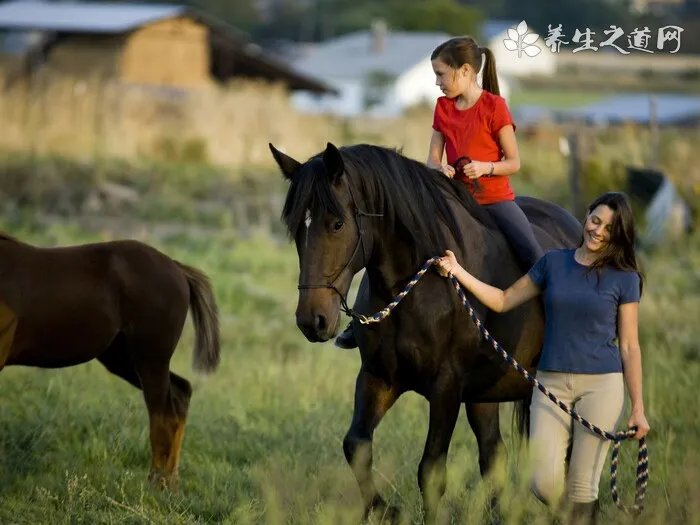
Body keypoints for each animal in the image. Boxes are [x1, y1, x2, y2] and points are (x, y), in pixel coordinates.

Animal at [0, 233, 220, 488]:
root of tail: (177, 269)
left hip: (150, 357)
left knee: (162, 412)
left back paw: (157, 484)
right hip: (122, 358)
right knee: (180, 392)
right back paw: (170, 483)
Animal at [270, 142, 582, 522]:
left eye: (337, 224)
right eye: (296, 229)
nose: (311, 320)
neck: (414, 285)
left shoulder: (446, 387)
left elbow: (431, 471)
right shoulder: (378, 377)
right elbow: (356, 445)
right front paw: (386, 510)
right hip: (484, 394)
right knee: (494, 454)